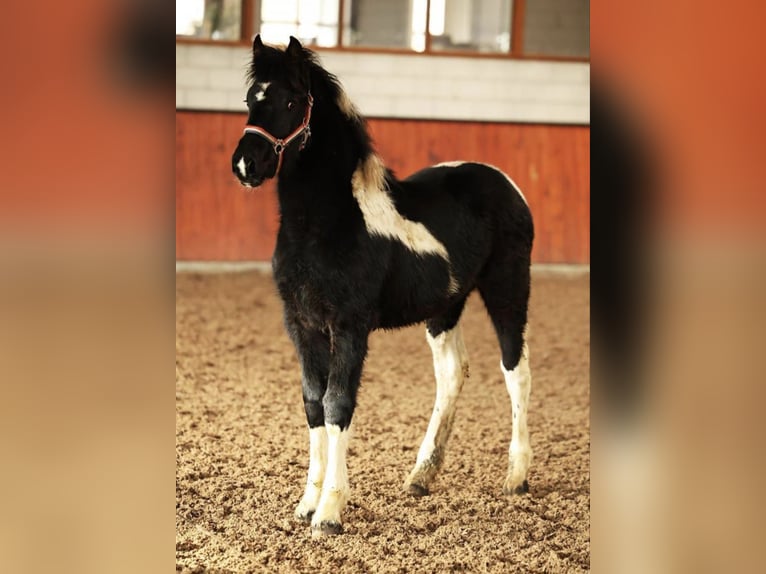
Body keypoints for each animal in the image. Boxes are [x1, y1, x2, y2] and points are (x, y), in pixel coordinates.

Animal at [231, 36, 534, 538]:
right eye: (250, 99)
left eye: (292, 101)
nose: (245, 164)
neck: (326, 224)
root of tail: (506, 184)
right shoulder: (302, 325)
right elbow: (312, 403)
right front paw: (307, 503)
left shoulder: (350, 327)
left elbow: (338, 404)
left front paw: (330, 512)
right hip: (444, 308)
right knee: (452, 373)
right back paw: (421, 477)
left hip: (508, 290)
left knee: (516, 369)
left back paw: (517, 476)